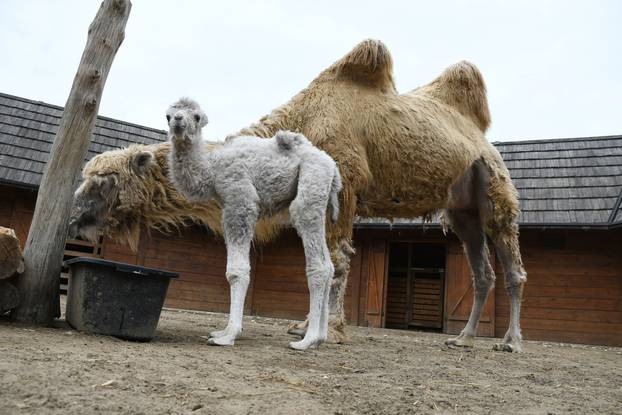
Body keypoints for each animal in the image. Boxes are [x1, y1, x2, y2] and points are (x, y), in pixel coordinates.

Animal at [167, 98, 342, 352]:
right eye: (168, 116)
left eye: (197, 116)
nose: (179, 121)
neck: (212, 169)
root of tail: (333, 167)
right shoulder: (227, 208)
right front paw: (221, 330)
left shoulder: (240, 200)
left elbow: (236, 272)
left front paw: (228, 335)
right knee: (329, 266)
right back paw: (319, 338)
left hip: (310, 188)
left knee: (318, 264)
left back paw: (305, 341)